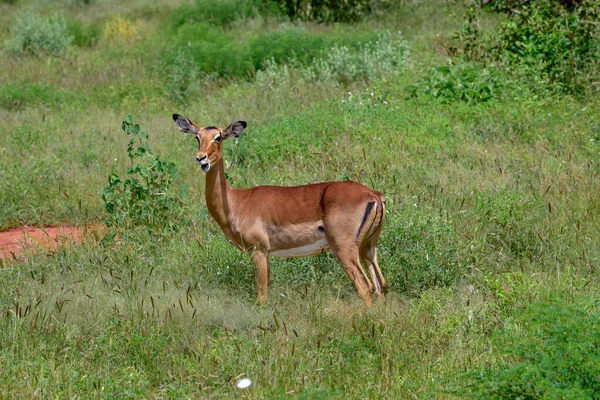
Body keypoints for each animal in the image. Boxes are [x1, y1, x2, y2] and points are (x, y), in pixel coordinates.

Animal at [172, 114, 390, 304]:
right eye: (197, 137)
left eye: (218, 137)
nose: (201, 158)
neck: (235, 202)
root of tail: (373, 195)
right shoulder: (267, 254)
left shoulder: (258, 251)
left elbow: (261, 297)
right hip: (368, 247)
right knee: (381, 286)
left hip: (345, 249)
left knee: (366, 288)